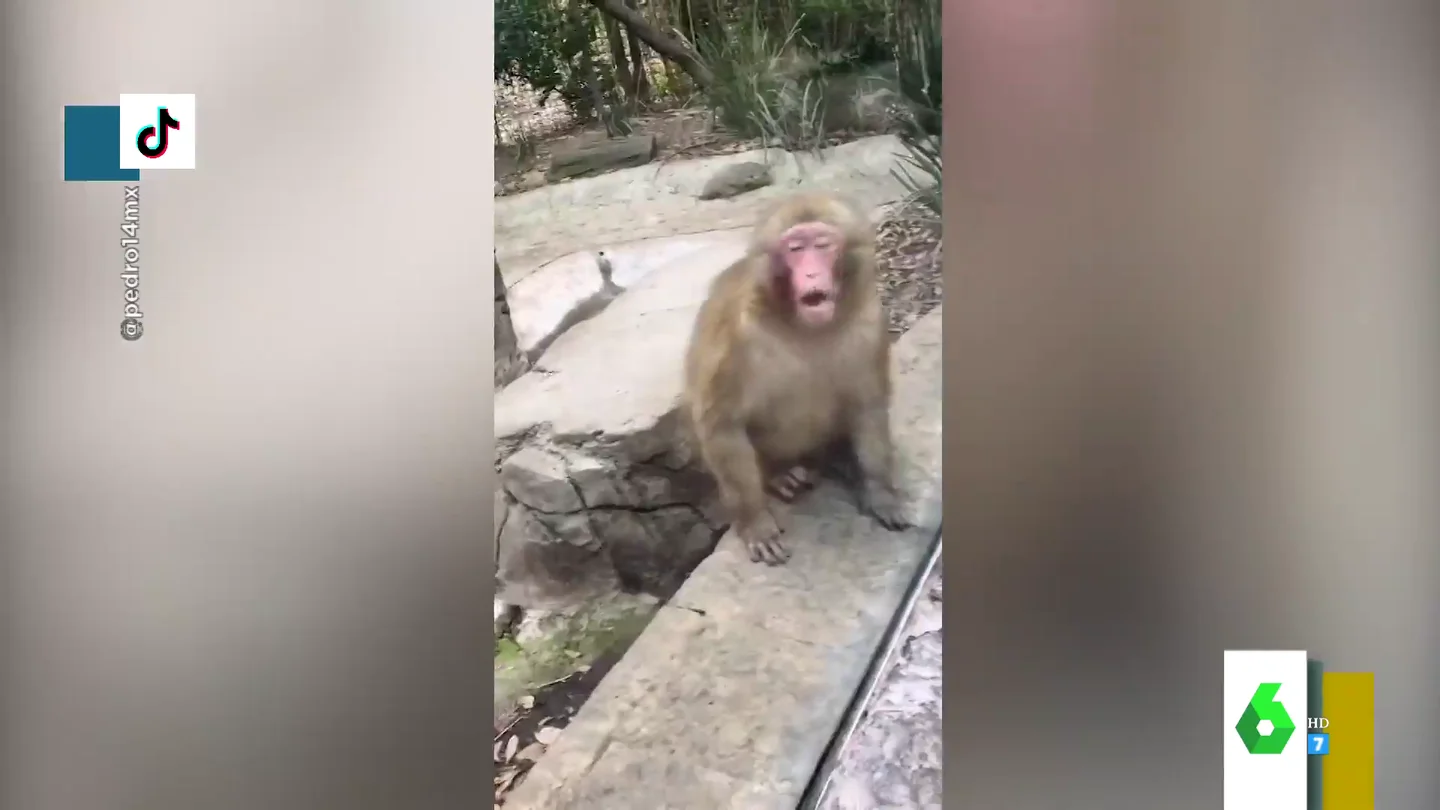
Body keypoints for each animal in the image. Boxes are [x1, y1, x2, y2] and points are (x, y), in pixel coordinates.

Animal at [682, 192, 910, 565]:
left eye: (823, 245)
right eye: (796, 248)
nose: (812, 271)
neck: (802, 326)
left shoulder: (869, 322)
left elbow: (868, 405)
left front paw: (881, 492)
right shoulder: (734, 335)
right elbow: (723, 425)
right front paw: (756, 522)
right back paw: (779, 473)